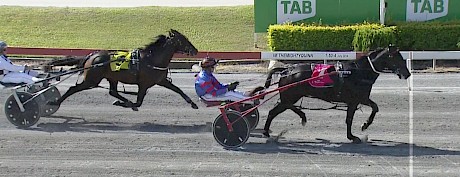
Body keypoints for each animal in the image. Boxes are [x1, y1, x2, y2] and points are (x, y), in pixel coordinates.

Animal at [49, 29, 199, 110]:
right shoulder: (143, 84)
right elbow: (139, 102)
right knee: (72, 89)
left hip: (111, 78)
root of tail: (92, 56)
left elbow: (178, 90)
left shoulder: (161, 80)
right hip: (92, 80)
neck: (152, 59)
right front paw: (129, 104)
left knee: (113, 91)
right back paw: (55, 102)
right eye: (183, 40)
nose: (195, 50)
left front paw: (193, 104)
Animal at [264, 45, 412, 142]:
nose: (407, 73)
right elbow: (356, 116)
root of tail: (286, 70)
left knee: (283, 108)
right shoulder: (357, 99)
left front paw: (357, 131)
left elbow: (369, 110)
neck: (359, 72)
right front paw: (359, 130)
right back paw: (269, 130)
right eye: (396, 57)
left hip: (291, 96)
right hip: (290, 96)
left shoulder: (358, 99)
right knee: (275, 111)